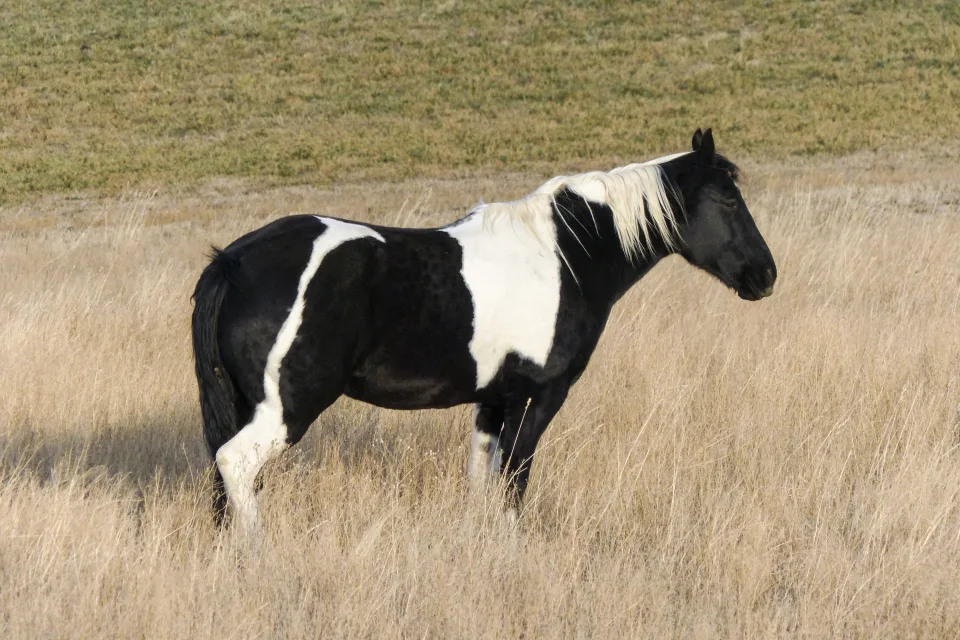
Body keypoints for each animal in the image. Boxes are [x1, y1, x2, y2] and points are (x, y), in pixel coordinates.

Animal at [192, 128, 777, 535]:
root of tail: (233, 262)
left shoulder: (494, 400)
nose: (766, 275)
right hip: (288, 408)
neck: (564, 256)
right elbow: (515, 479)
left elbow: (481, 479)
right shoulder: (540, 396)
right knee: (236, 465)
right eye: (728, 200)